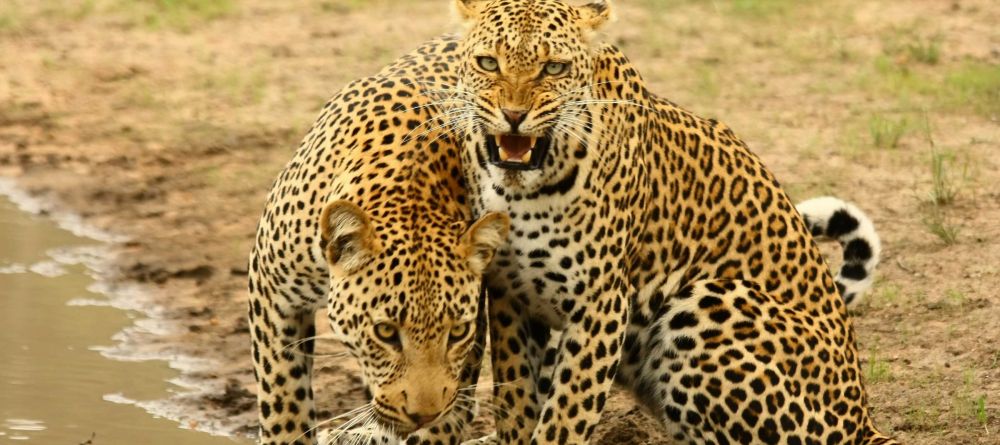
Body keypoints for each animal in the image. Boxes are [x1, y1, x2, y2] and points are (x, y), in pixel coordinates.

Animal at [438, 0, 900, 442]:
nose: (513, 115)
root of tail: (862, 421)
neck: (522, 192)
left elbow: (565, 415)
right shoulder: (508, 296)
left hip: (710, 301)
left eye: (554, 68)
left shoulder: (600, 305)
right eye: (488, 63)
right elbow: (516, 401)